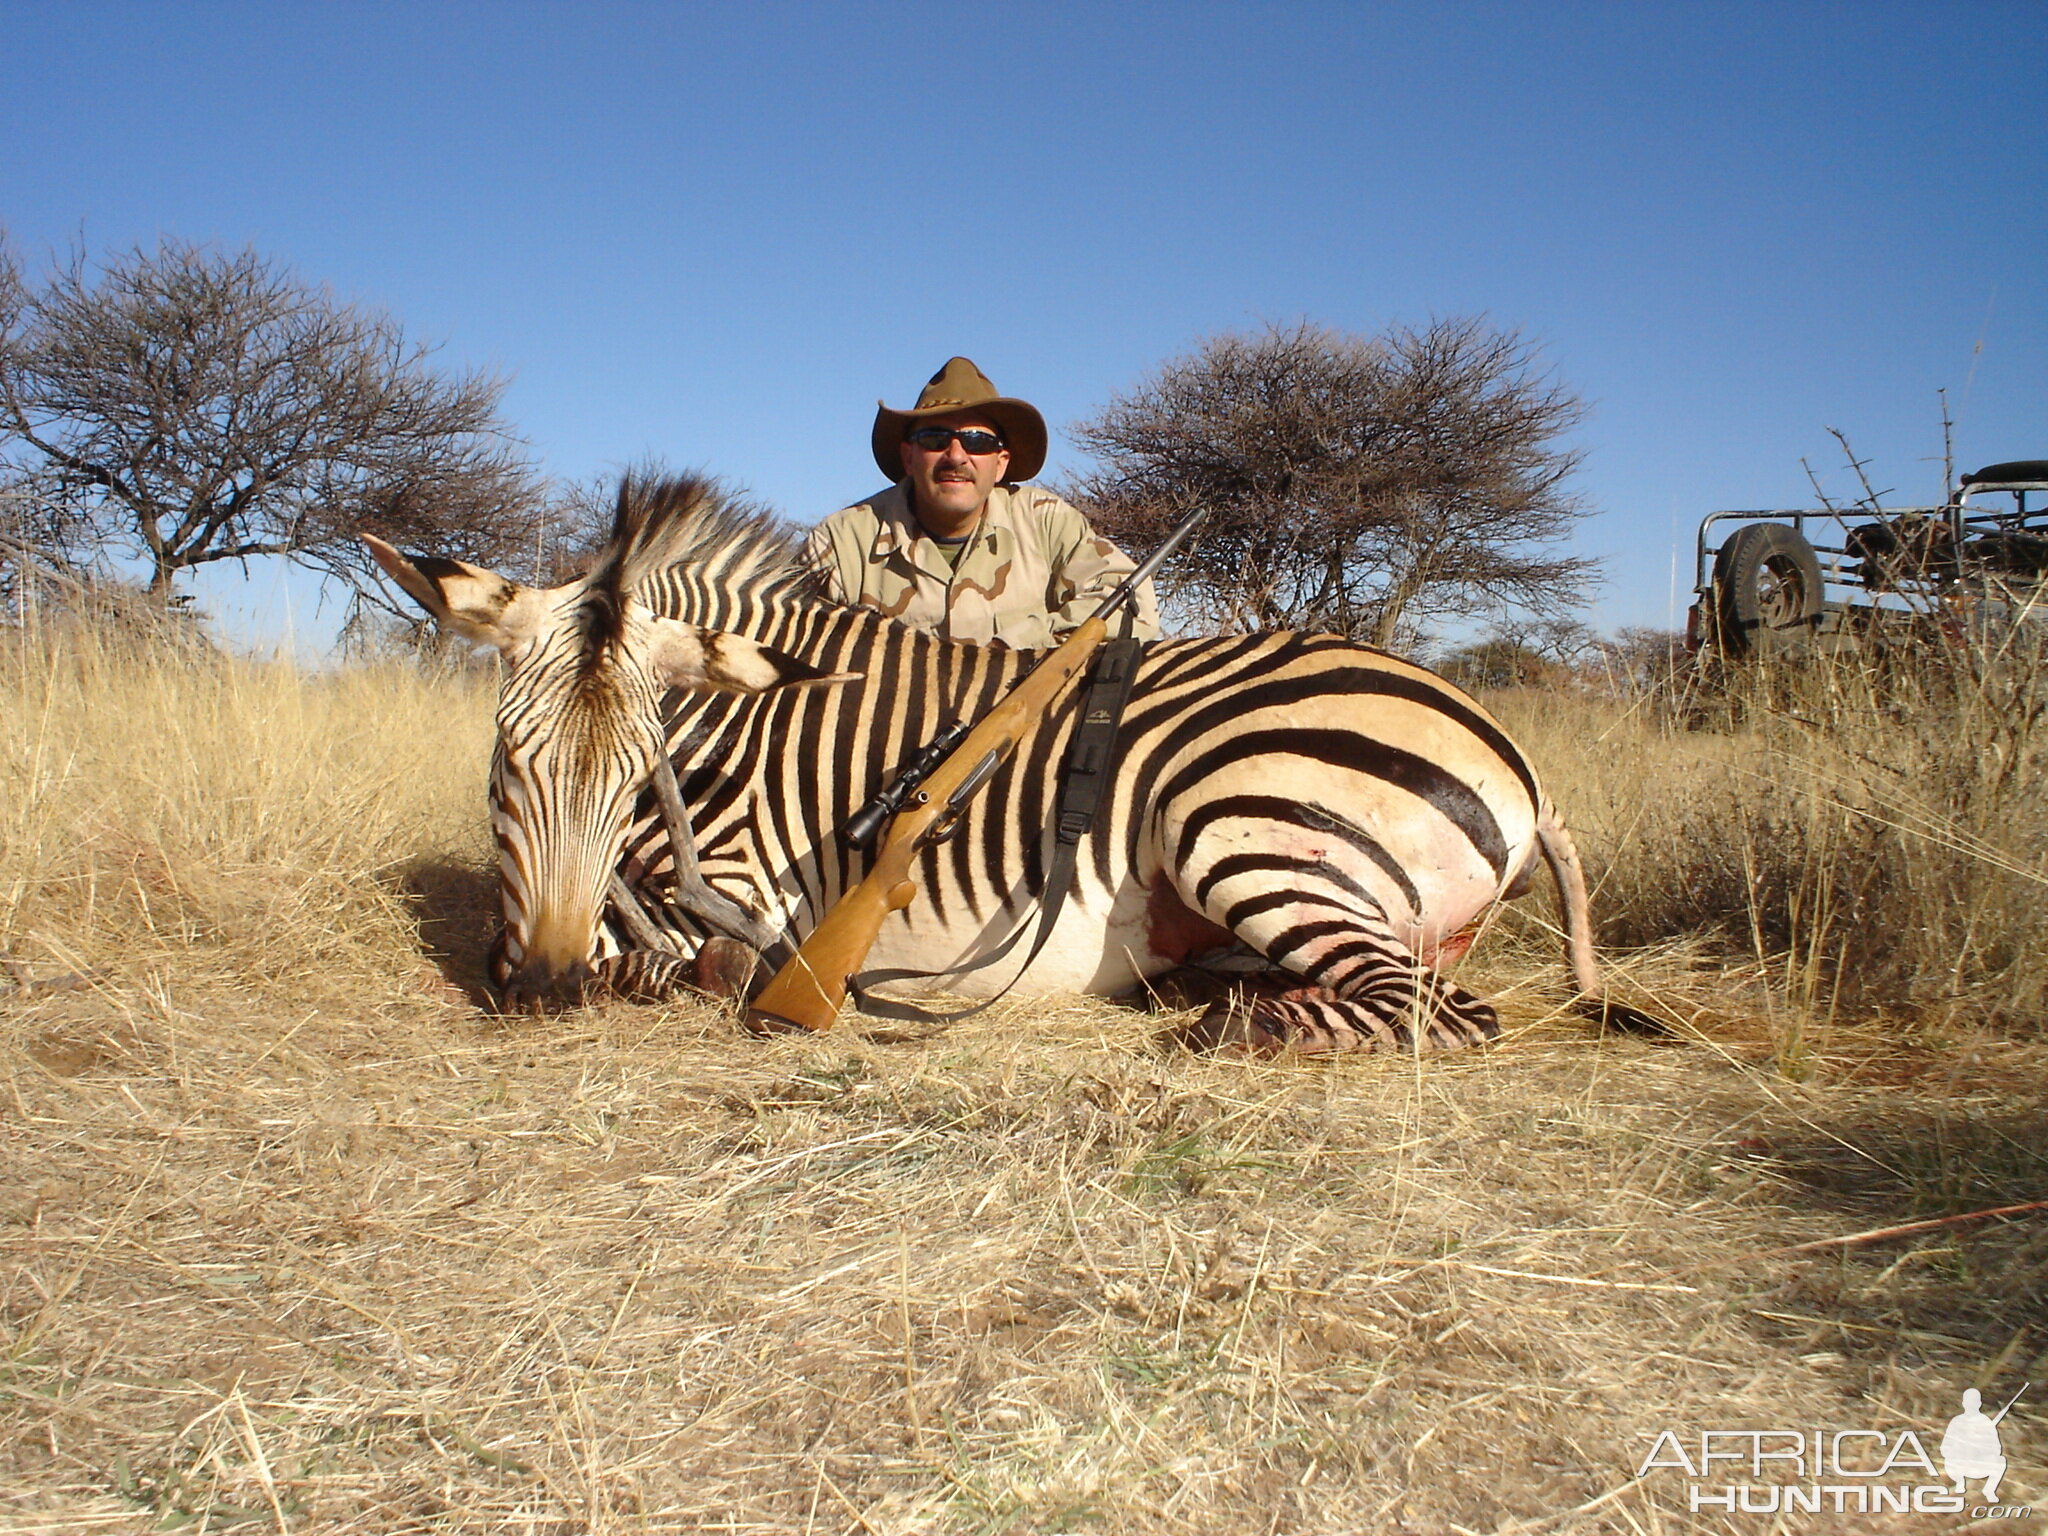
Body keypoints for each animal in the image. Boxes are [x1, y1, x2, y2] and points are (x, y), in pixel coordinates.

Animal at [360, 479, 1654, 1056]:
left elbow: (657, 959)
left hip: (1235, 824)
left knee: (1435, 1011)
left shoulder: (732, 903)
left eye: (639, 776)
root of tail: (1517, 759)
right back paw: (1216, 996)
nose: (540, 990)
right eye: (506, 764)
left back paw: (1228, 1028)